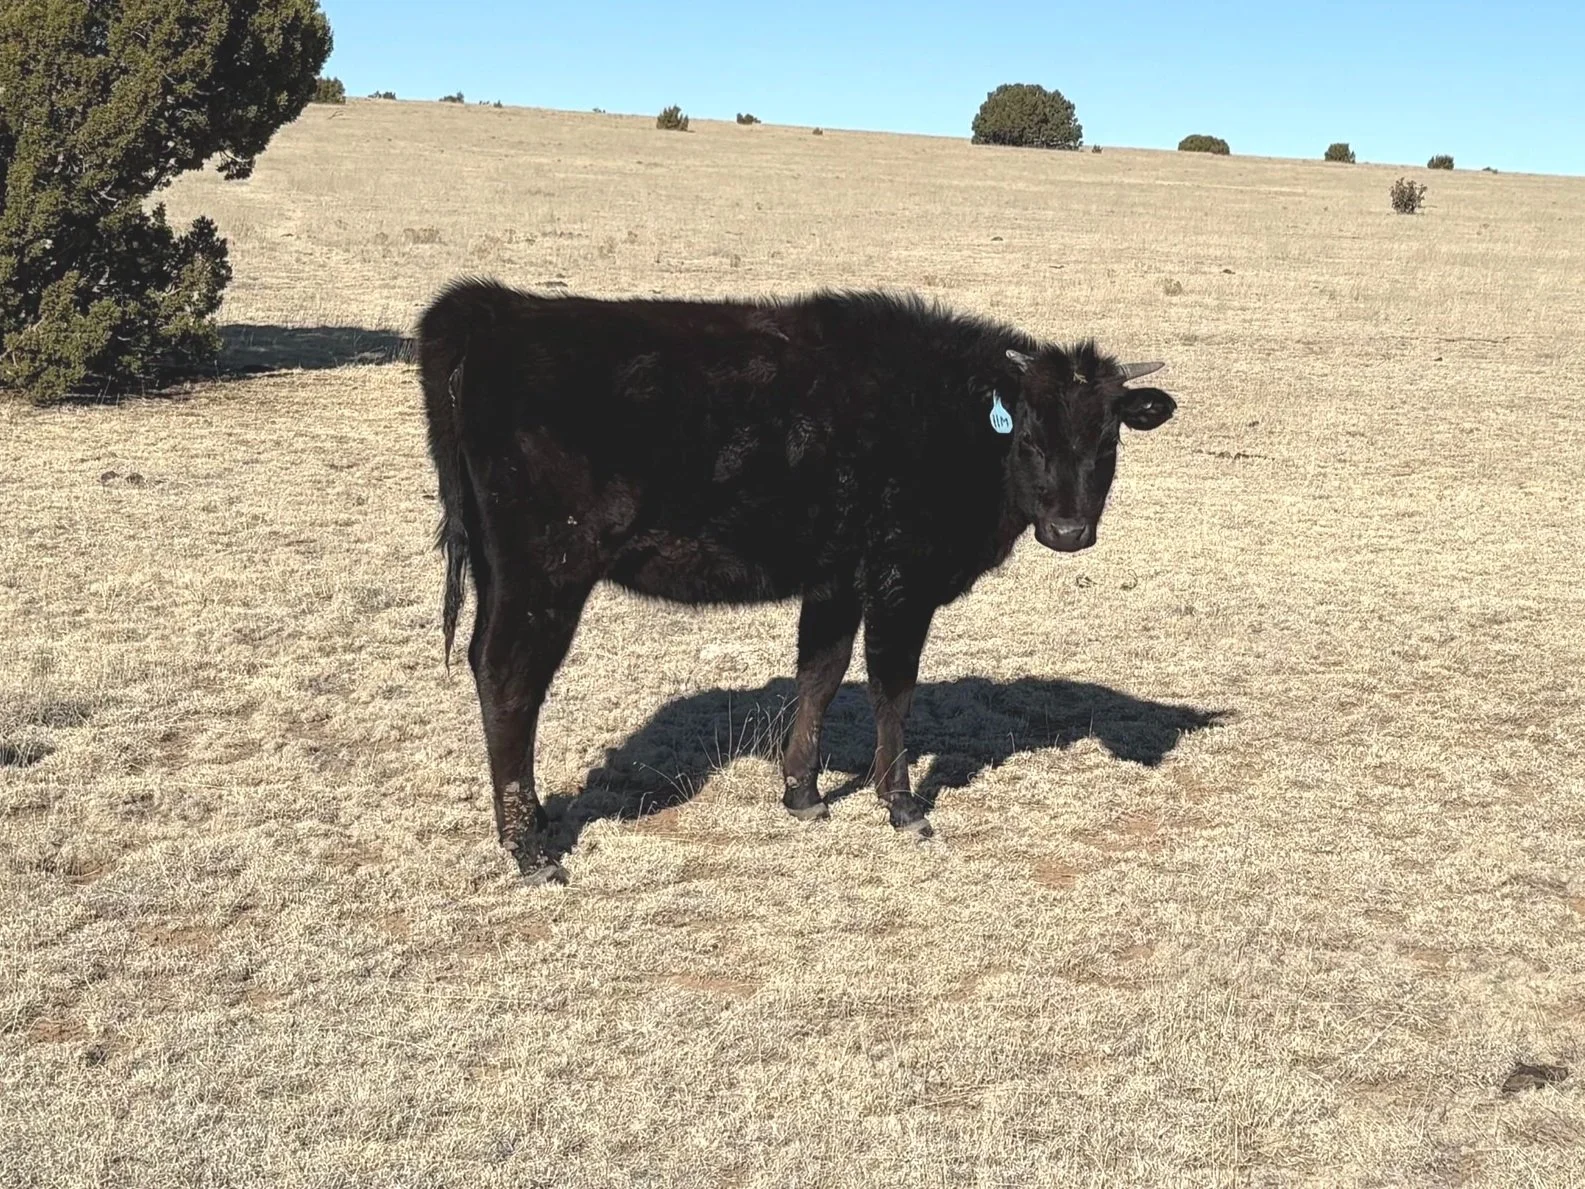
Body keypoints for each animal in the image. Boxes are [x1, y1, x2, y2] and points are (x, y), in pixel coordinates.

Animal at [418, 280, 1177, 884]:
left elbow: (821, 671)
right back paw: (529, 850)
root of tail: (496, 309)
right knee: (510, 680)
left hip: (502, 571)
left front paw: (803, 793)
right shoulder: (901, 579)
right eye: (1027, 436)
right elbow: (892, 687)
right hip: (545, 571)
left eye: (1107, 439)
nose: (1068, 531)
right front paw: (902, 804)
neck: (946, 415)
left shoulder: (834, 578)